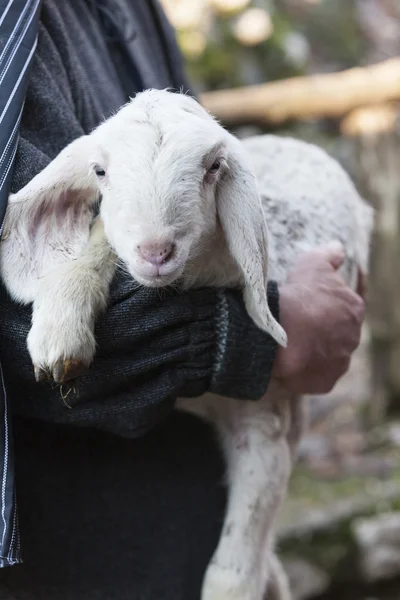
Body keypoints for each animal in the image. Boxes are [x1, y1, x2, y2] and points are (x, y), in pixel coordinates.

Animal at [0, 89, 376, 600]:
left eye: (213, 167)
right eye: (100, 171)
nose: (156, 251)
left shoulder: (264, 425)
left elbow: (233, 574)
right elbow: (99, 238)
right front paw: (61, 331)